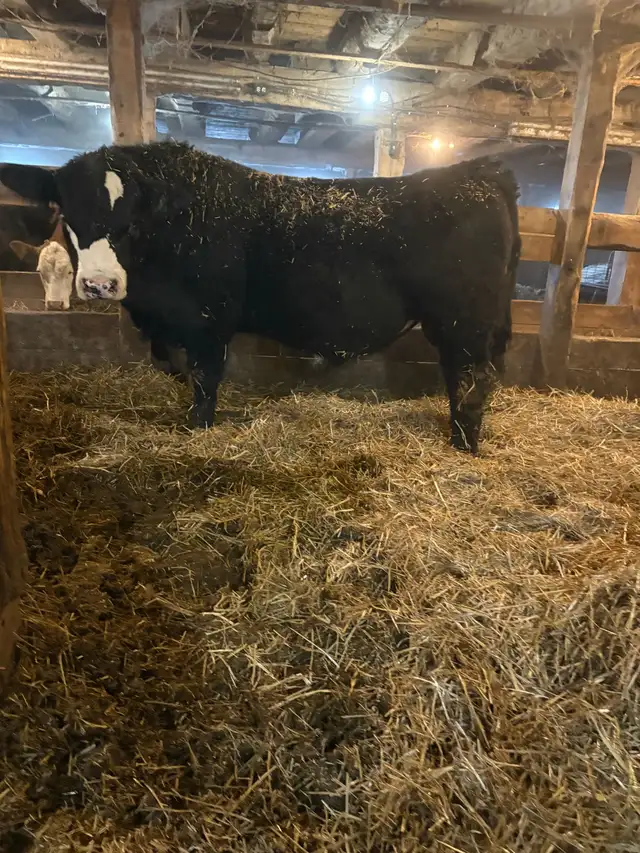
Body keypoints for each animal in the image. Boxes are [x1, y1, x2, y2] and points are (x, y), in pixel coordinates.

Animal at [0, 141, 521, 453]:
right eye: (67, 212)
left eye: (131, 218)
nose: (99, 284)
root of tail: (479, 173)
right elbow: (173, 366)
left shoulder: (208, 321)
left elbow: (205, 379)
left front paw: (198, 427)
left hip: (462, 324)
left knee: (472, 382)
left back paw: (463, 444)